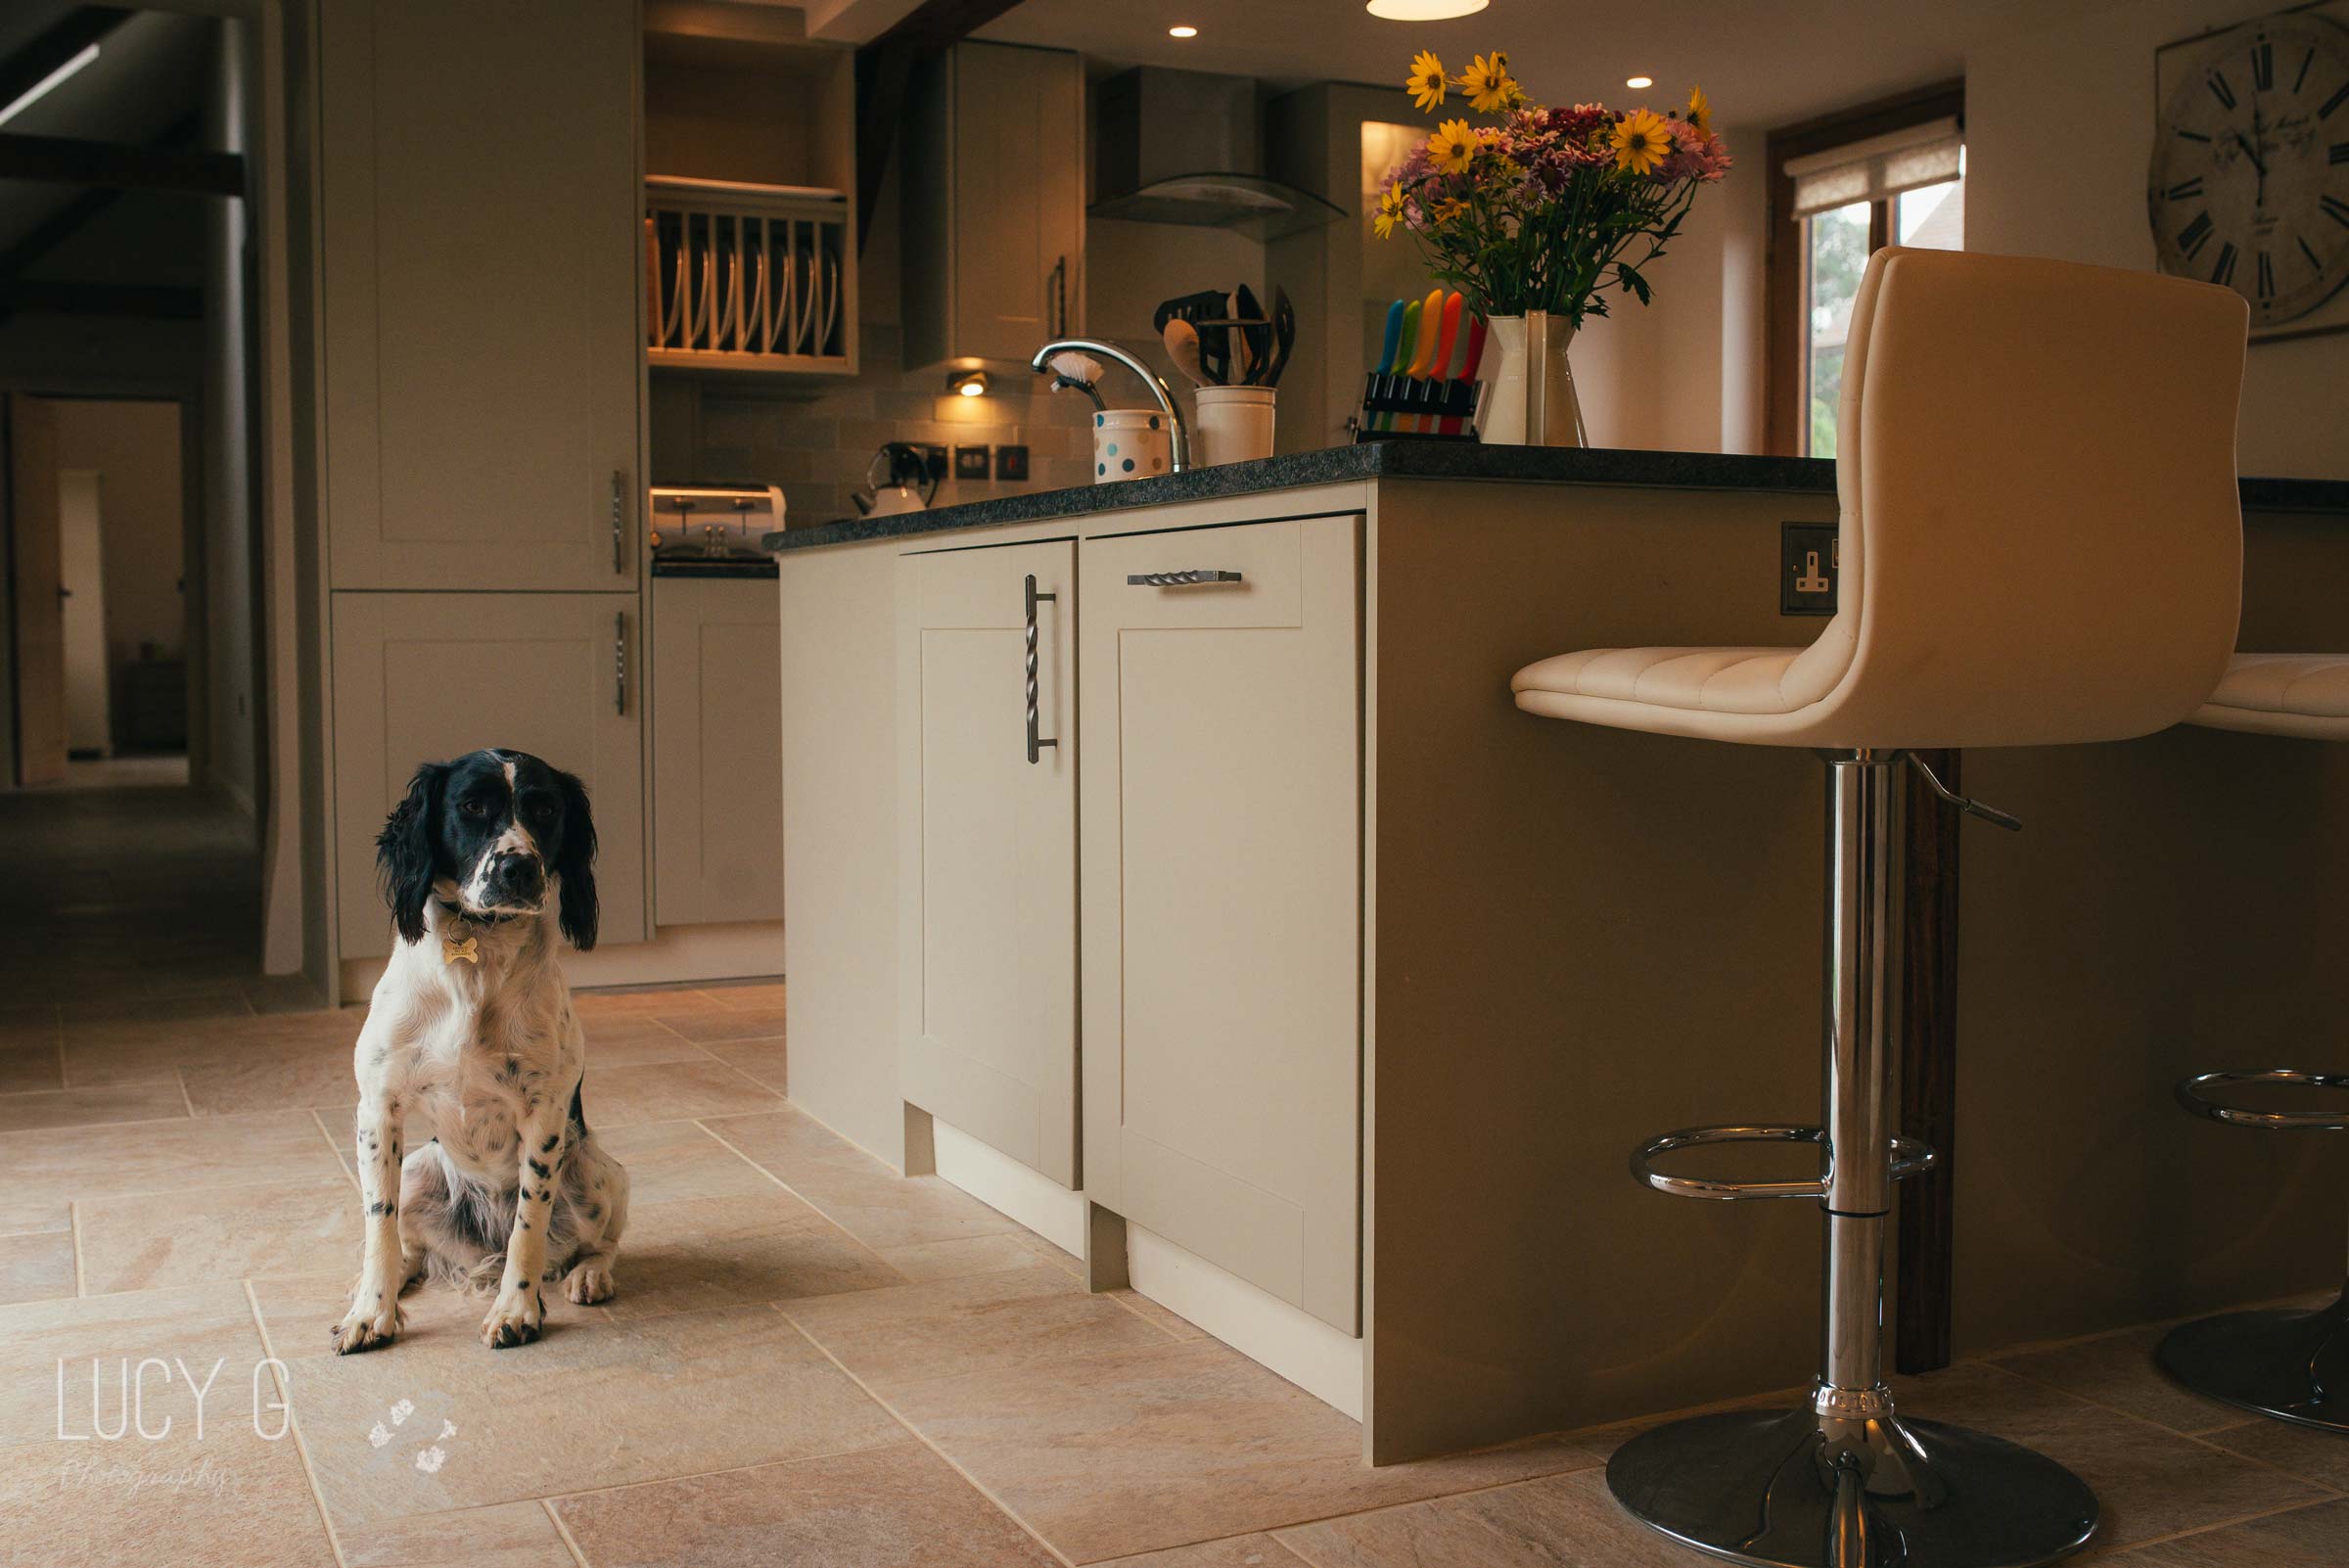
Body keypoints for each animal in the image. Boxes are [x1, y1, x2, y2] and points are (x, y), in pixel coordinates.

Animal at [331, 751, 629, 1352]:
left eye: (546, 809)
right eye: (471, 807)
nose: (519, 869)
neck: (479, 958)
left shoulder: (545, 1116)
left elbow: (528, 1228)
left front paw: (517, 1310)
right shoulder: (377, 1108)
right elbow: (379, 1224)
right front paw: (371, 1313)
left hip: (595, 1170)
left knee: (599, 1243)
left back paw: (589, 1275)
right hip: (419, 1168)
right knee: (411, 1245)